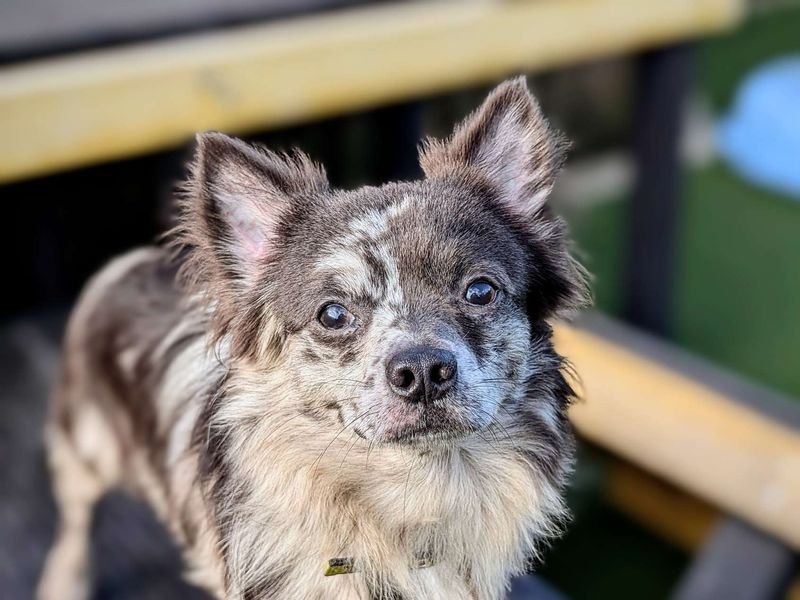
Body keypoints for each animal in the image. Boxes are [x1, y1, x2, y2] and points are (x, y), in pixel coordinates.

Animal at [37, 79, 588, 600]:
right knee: (74, 521)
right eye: (333, 314)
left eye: (480, 291)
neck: (413, 492)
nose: (422, 371)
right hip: (83, 450)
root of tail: (129, 264)